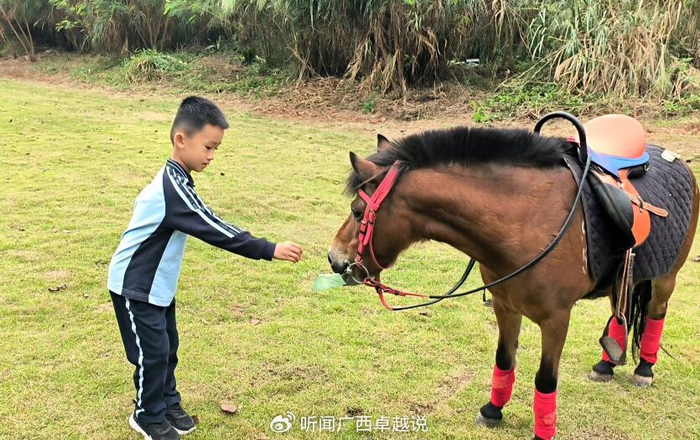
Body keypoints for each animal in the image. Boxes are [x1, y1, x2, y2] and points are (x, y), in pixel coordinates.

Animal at [327, 125, 699, 440]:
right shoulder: (506, 307)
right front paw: (493, 410)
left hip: (666, 277)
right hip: (622, 277)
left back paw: (645, 369)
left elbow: (546, 378)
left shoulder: (556, 319)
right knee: (619, 312)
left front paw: (542, 431)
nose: (335, 259)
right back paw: (607, 363)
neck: (526, 222)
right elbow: (504, 360)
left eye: (357, 211)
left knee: (656, 313)